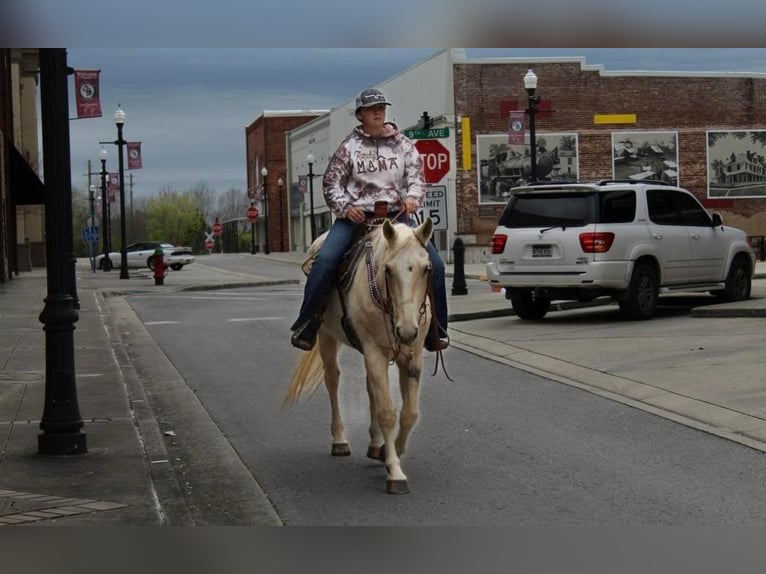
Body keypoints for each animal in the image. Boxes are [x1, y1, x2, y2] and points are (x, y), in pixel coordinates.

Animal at [284, 216, 436, 496]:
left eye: (426, 269)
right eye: (388, 270)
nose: (407, 330)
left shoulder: (412, 355)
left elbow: (409, 413)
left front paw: (389, 451)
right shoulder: (374, 351)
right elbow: (387, 411)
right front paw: (394, 471)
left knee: (370, 388)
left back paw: (375, 445)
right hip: (327, 336)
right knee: (333, 381)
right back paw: (340, 440)